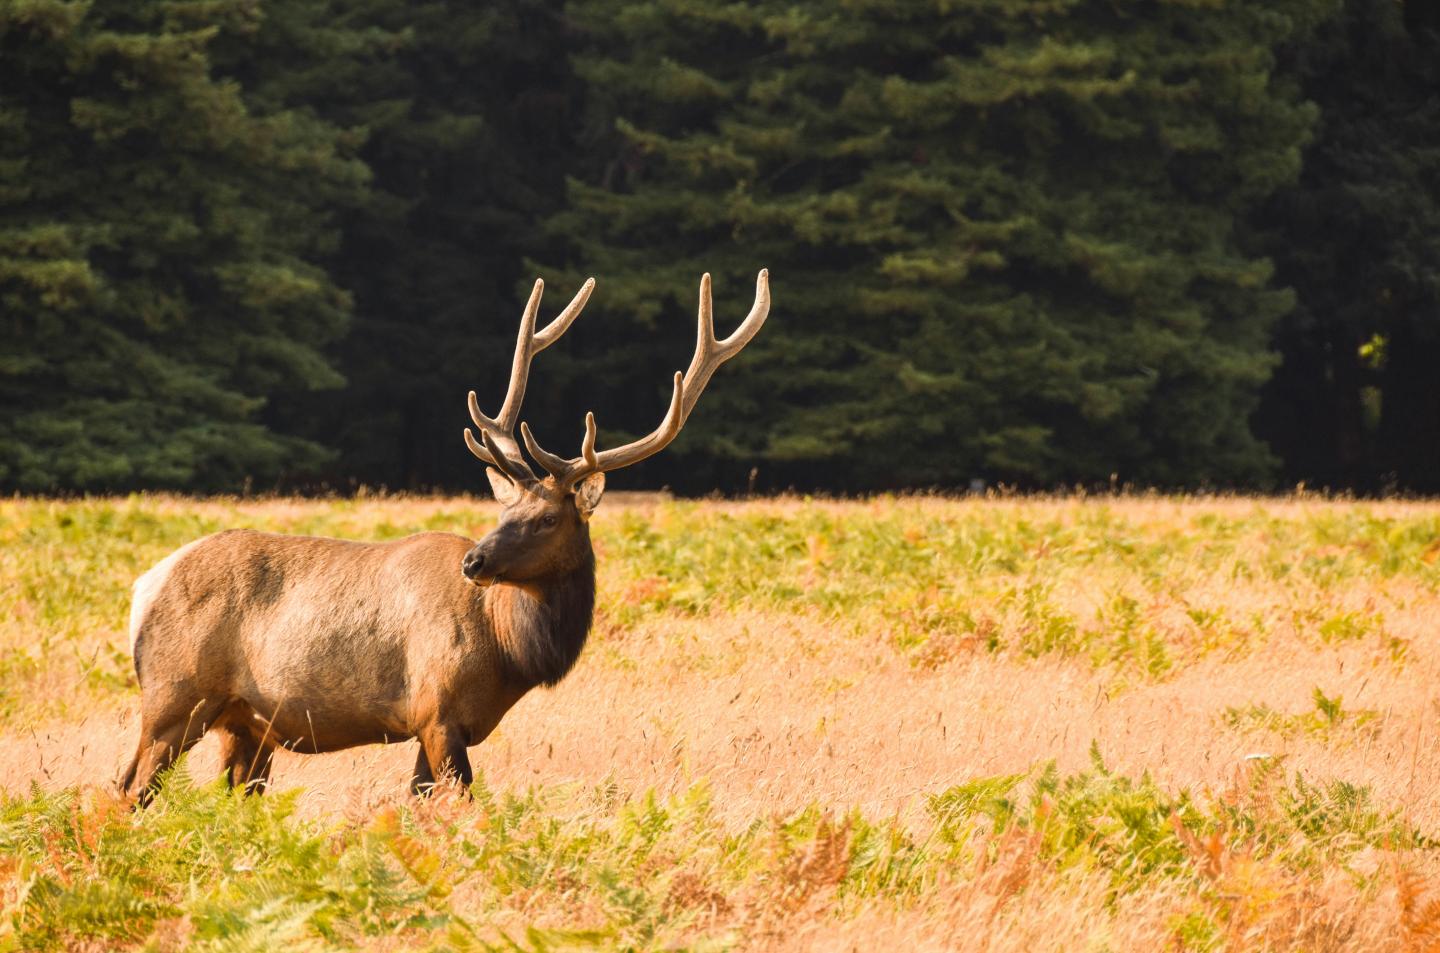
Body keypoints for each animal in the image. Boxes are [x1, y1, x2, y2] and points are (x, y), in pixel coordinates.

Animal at [118, 269, 770, 803]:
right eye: (507, 510)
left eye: (546, 518)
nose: (475, 562)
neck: (507, 650)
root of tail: (144, 587)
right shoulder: (436, 711)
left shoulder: (443, 728)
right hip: (174, 695)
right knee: (127, 788)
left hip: (246, 723)